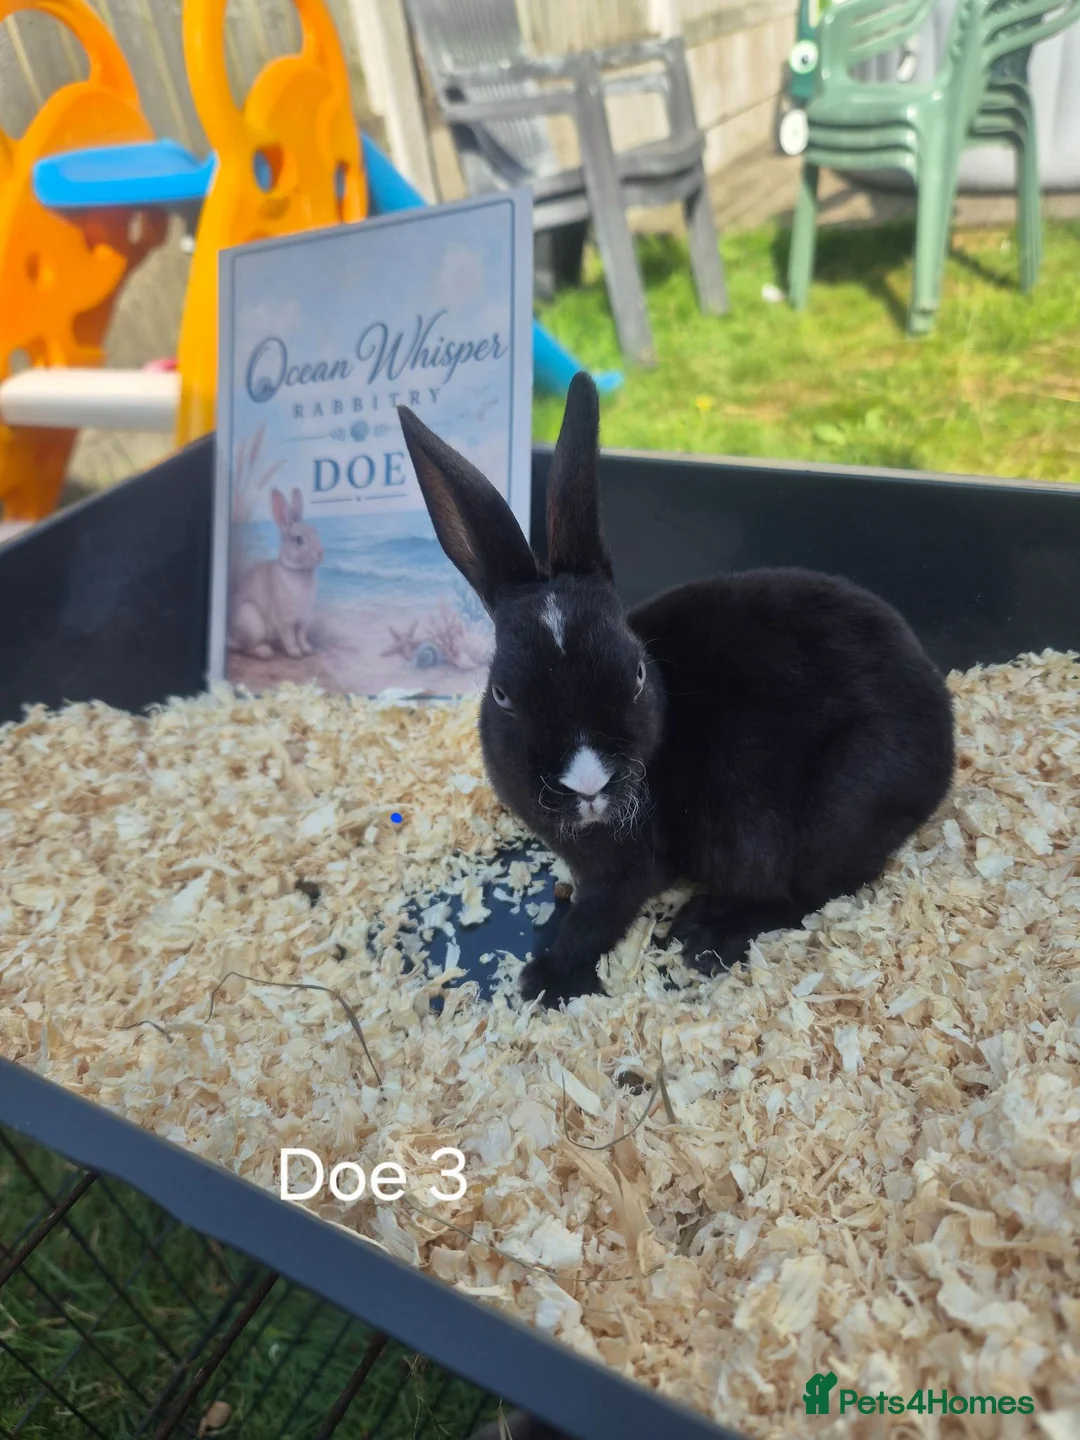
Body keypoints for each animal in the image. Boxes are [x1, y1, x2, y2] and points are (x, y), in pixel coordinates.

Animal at [228, 487, 324, 660]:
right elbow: (290, 636)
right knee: (247, 648)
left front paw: (307, 649)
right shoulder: (285, 620)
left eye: (315, 532)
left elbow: (301, 635)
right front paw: (295, 652)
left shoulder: (303, 620)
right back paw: (265, 651)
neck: (297, 571)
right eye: (299, 540)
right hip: (253, 623)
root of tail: (233, 637)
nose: (320, 553)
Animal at [396, 374, 955, 1006]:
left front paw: (545, 979)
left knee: (811, 893)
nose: (589, 783)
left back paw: (707, 929)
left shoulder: (630, 869)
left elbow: (595, 918)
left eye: (637, 674)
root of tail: (943, 742)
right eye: (503, 696)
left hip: (833, 815)